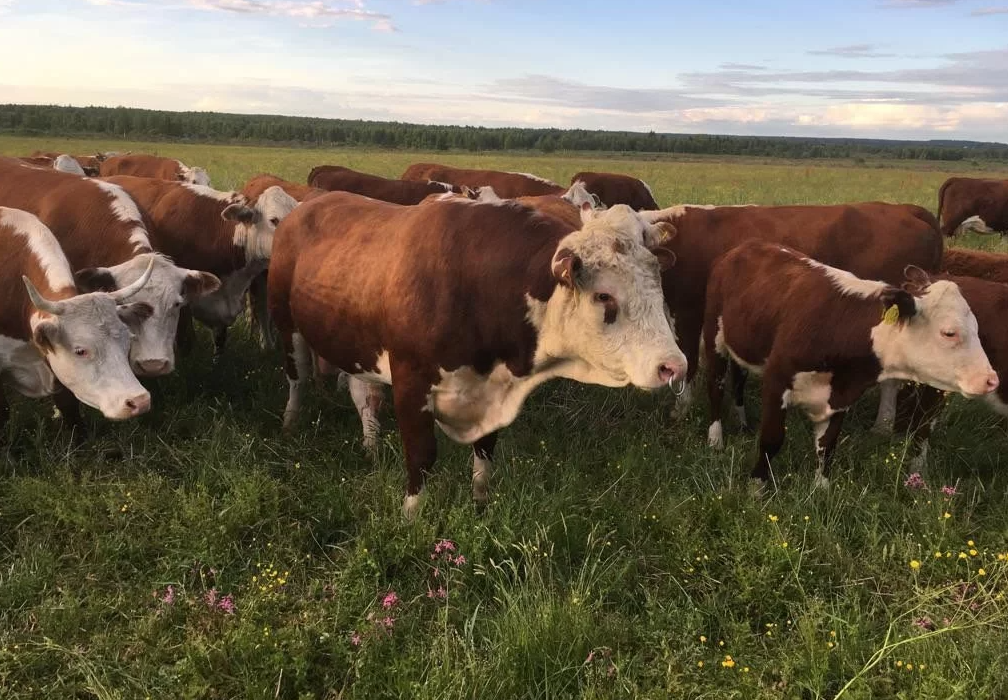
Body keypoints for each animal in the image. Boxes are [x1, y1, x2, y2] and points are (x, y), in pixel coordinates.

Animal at [269, 195, 686, 517]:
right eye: (603, 295)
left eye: (658, 285)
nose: (674, 366)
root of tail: (308, 204)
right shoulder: (410, 382)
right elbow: (421, 456)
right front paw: (410, 518)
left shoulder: (493, 386)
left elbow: (485, 454)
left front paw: (480, 505)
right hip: (287, 326)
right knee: (296, 377)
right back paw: (290, 423)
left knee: (365, 395)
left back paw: (369, 443)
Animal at [638, 202, 944, 426]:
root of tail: (903, 208)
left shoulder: (687, 312)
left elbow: (688, 360)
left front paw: (681, 410)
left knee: (891, 380)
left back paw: (882, 426)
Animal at [704, 240, 997, 490]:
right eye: (949, 333)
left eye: (977, 328)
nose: (991, 379)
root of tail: (745, 246)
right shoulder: (777, 381)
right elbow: (771, 439)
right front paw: (757, 486)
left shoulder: (840, 395)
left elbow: (827, 445)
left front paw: (820, 489)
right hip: (714, 339)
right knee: (716, 388)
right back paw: (715, 439)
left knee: (738, 380)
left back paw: (741, 421)